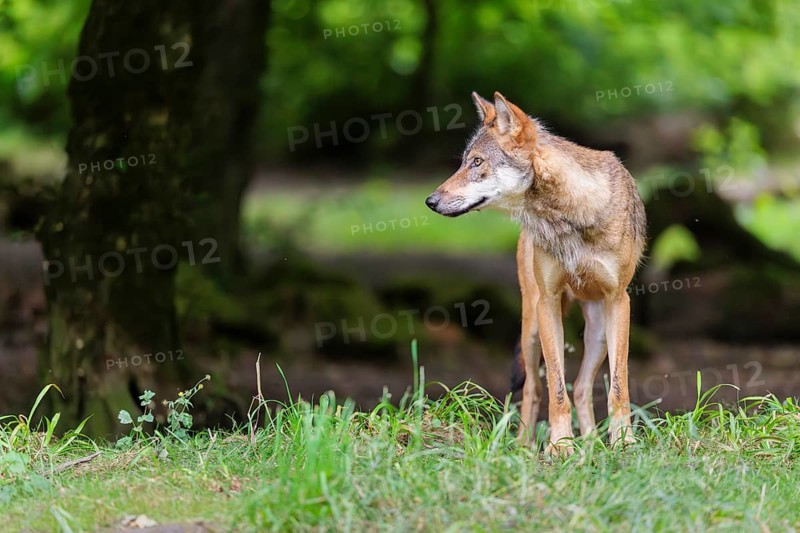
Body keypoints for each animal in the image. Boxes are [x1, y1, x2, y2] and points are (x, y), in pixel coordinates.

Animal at [425, 92, 646, 455]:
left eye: (476, 162)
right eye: (464, 162)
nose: (430, 201)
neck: (568, 215)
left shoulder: (620, 300)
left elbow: (618, 387)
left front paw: (623, 443)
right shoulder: (548, 302)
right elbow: (555, 389)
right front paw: (560, 447)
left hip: (598, 331)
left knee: (582, 387)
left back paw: (592, 444)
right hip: (530, 329)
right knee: (532, 389)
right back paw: (525, 447)